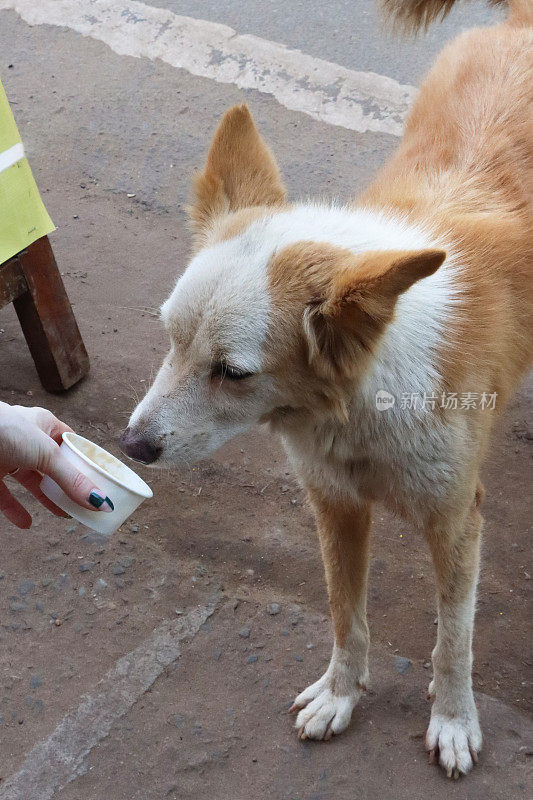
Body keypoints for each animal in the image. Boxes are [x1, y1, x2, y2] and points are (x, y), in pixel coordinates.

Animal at [120, 0, 532, 780]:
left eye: (233, 372)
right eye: (169, 337)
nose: (132, 446)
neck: (363, 400)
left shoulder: (457, 521)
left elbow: (452, 640)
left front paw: (453, 719)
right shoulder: (334, 505)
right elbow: (346, 614)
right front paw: (341, 695)